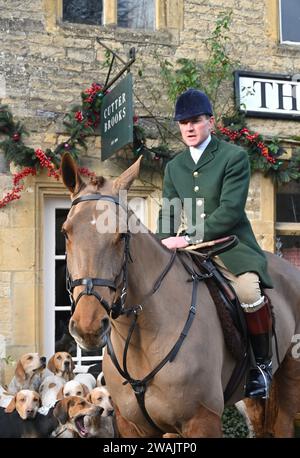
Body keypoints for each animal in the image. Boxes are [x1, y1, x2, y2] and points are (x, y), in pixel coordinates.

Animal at [60, 153, 300, 436]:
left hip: (289, 382)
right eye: (65, 231)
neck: (141, 337)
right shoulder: (133, 426)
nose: (88, 327)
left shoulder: (202, 420)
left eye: (122, 235)